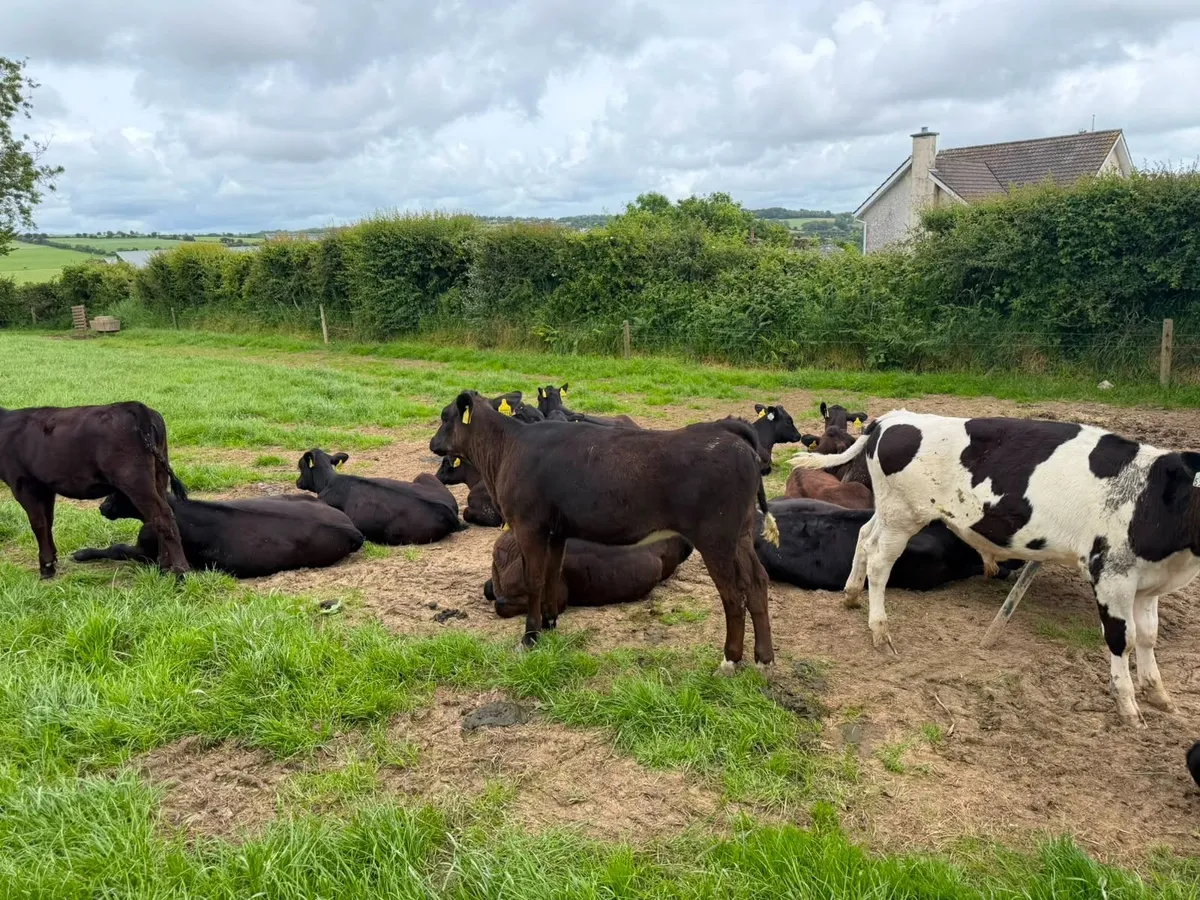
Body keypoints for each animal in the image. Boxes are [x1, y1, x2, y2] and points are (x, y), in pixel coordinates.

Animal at [0, 401, 189, 578]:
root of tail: (134, 406)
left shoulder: (23, 484)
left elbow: (38, 524)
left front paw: (46, 567)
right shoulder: (45, 487)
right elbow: (48, 521)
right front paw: (52, 559)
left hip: (135, 479)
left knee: (162, 516)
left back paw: (180, 570)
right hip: (158, 475)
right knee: (160, 515)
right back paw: (164, 564)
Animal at [74, 492, 363, 578]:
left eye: (116, 492)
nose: (101, 507)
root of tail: (351, 528)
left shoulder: (149, 553)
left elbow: (116, 549)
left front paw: (81, 554)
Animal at [790, 409, 1200, 726]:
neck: (1152, 500)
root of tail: (893, 418)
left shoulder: (1149, 584)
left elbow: (1148, 636)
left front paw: (1158, 694)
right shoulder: (1112, 576)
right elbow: (1122, 639)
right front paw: (1129, 707)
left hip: (890, 513)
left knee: (863, 536)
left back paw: (851, 594)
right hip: (903, 516)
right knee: (879, 563)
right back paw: (880, 631)